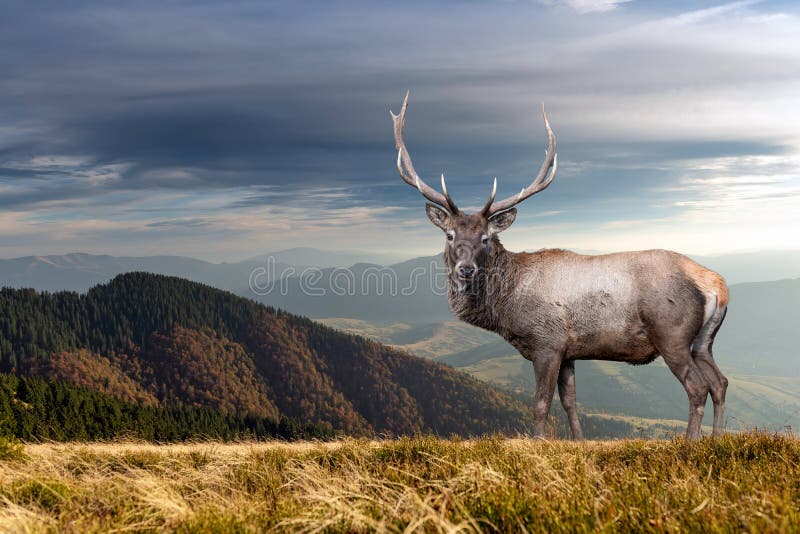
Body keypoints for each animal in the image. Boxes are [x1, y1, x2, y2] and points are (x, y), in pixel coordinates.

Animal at [391, 92, 729, 441]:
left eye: (485, 238)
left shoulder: (547, 343)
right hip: (704, 341)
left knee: (698, 387)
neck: (505, 306)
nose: (466, 269)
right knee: (720, 382)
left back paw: (690, 442)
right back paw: (717, 438)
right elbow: (570, 402)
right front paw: (579, 441)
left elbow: (541, 404)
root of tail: (716, 285)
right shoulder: (569, 351)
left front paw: (538, 442)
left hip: (672, 334)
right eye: (449, 234)